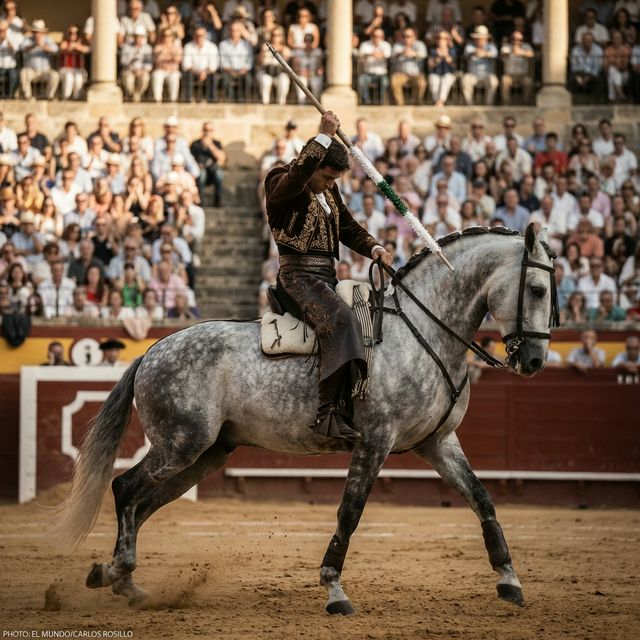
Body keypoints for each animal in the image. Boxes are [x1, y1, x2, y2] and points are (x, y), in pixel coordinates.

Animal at [52, 224, 557, 615]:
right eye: (537, 289)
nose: (534, 360)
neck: (425, 331)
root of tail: (153, 351)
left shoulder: (439, 442)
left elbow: (482, 499)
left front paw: (509, 580)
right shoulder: (375, 441)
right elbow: (350, 512)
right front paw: (335, 590)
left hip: (207, 452)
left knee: (144, 503)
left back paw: (124, 581)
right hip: (181, 443)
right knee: (125, 489)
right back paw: (117, 574)